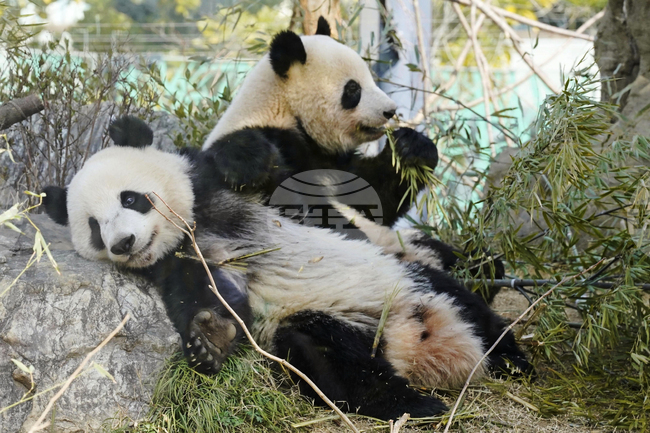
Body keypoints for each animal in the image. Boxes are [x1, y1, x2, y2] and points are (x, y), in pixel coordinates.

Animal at [42, 116, 530, 421]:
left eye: (130, 198)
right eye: (93, 227)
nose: (123, 244)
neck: (195, 225)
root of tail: (418, 345)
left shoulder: (225, 192)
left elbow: (314, 188)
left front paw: (244, 157)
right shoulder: (180, 262)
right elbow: (208, 296)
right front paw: (208, 339)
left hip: (408, 280)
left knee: (469, 307)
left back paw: (511, 362)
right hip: (328, 326)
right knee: (332, 362)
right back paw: (413, 404)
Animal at [201, 17, 438, 228]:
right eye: (353, 88)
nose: (390, 111)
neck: (286, 111)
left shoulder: (335, 163)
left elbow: (374, 197)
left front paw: (412, 147)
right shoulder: (275, 136)